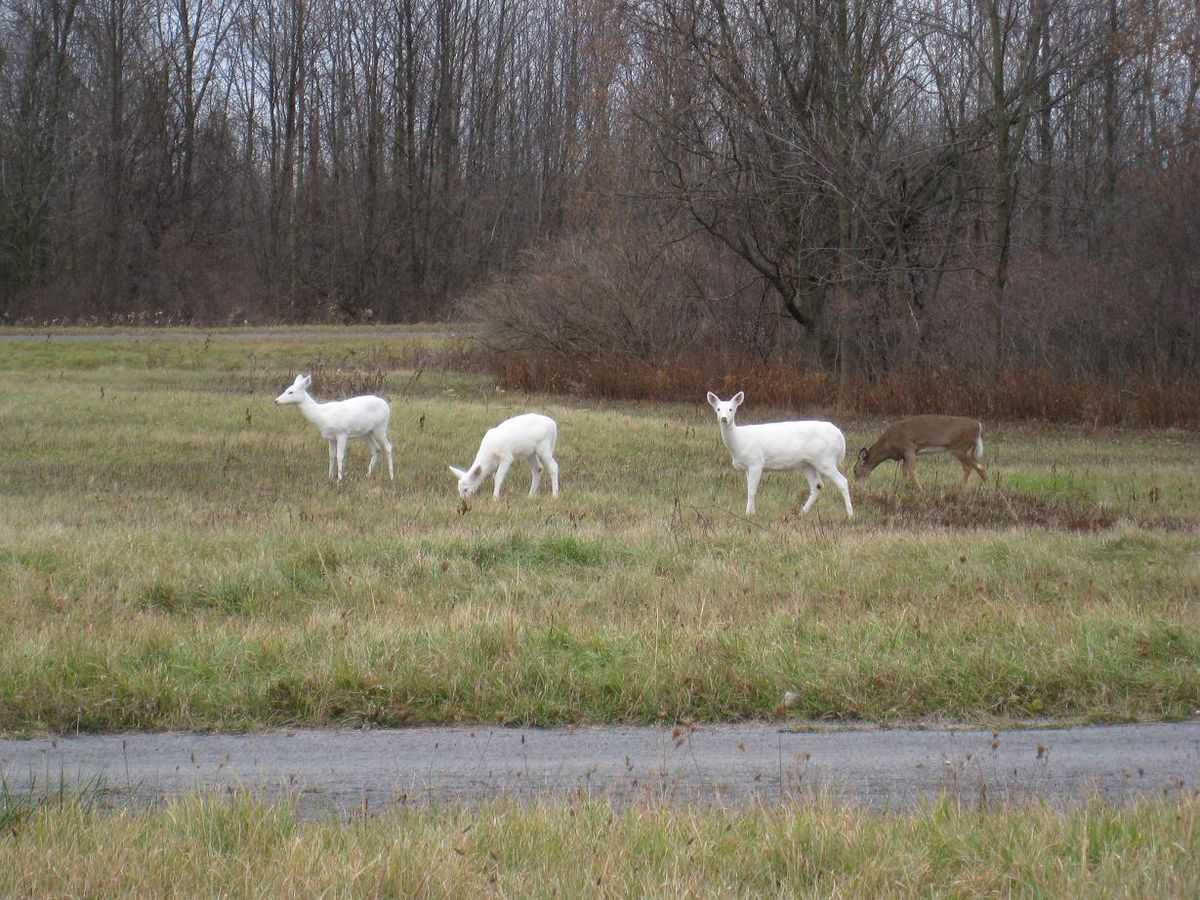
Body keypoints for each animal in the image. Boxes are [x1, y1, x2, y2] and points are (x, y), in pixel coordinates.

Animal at [707, 391, 854, 518]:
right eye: (718, 409)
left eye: (731, 409)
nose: (724, 419)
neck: (739, 441)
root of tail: (841, 438)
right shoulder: (747, 467)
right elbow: (750, 489)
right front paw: (753, 512)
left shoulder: (756, 462)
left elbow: (752, 491)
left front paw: (748, 514)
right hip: (807, 463)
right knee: (817, 485)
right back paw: (802, 513)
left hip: (825, 459)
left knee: (842, 481)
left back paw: (850, 515)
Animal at [853, 415, 987, 486]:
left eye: (855, 470)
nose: (857, 485)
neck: (889, 444)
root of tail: (979, 426)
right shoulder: (904, 454)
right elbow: (904, 472)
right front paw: (904, 487)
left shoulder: (909, 447)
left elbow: (912, 471)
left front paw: (920, 489)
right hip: (968, 449)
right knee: (978, 466)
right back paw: (983, 485)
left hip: (959, 447)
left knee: (971, 466)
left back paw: (962, 486)